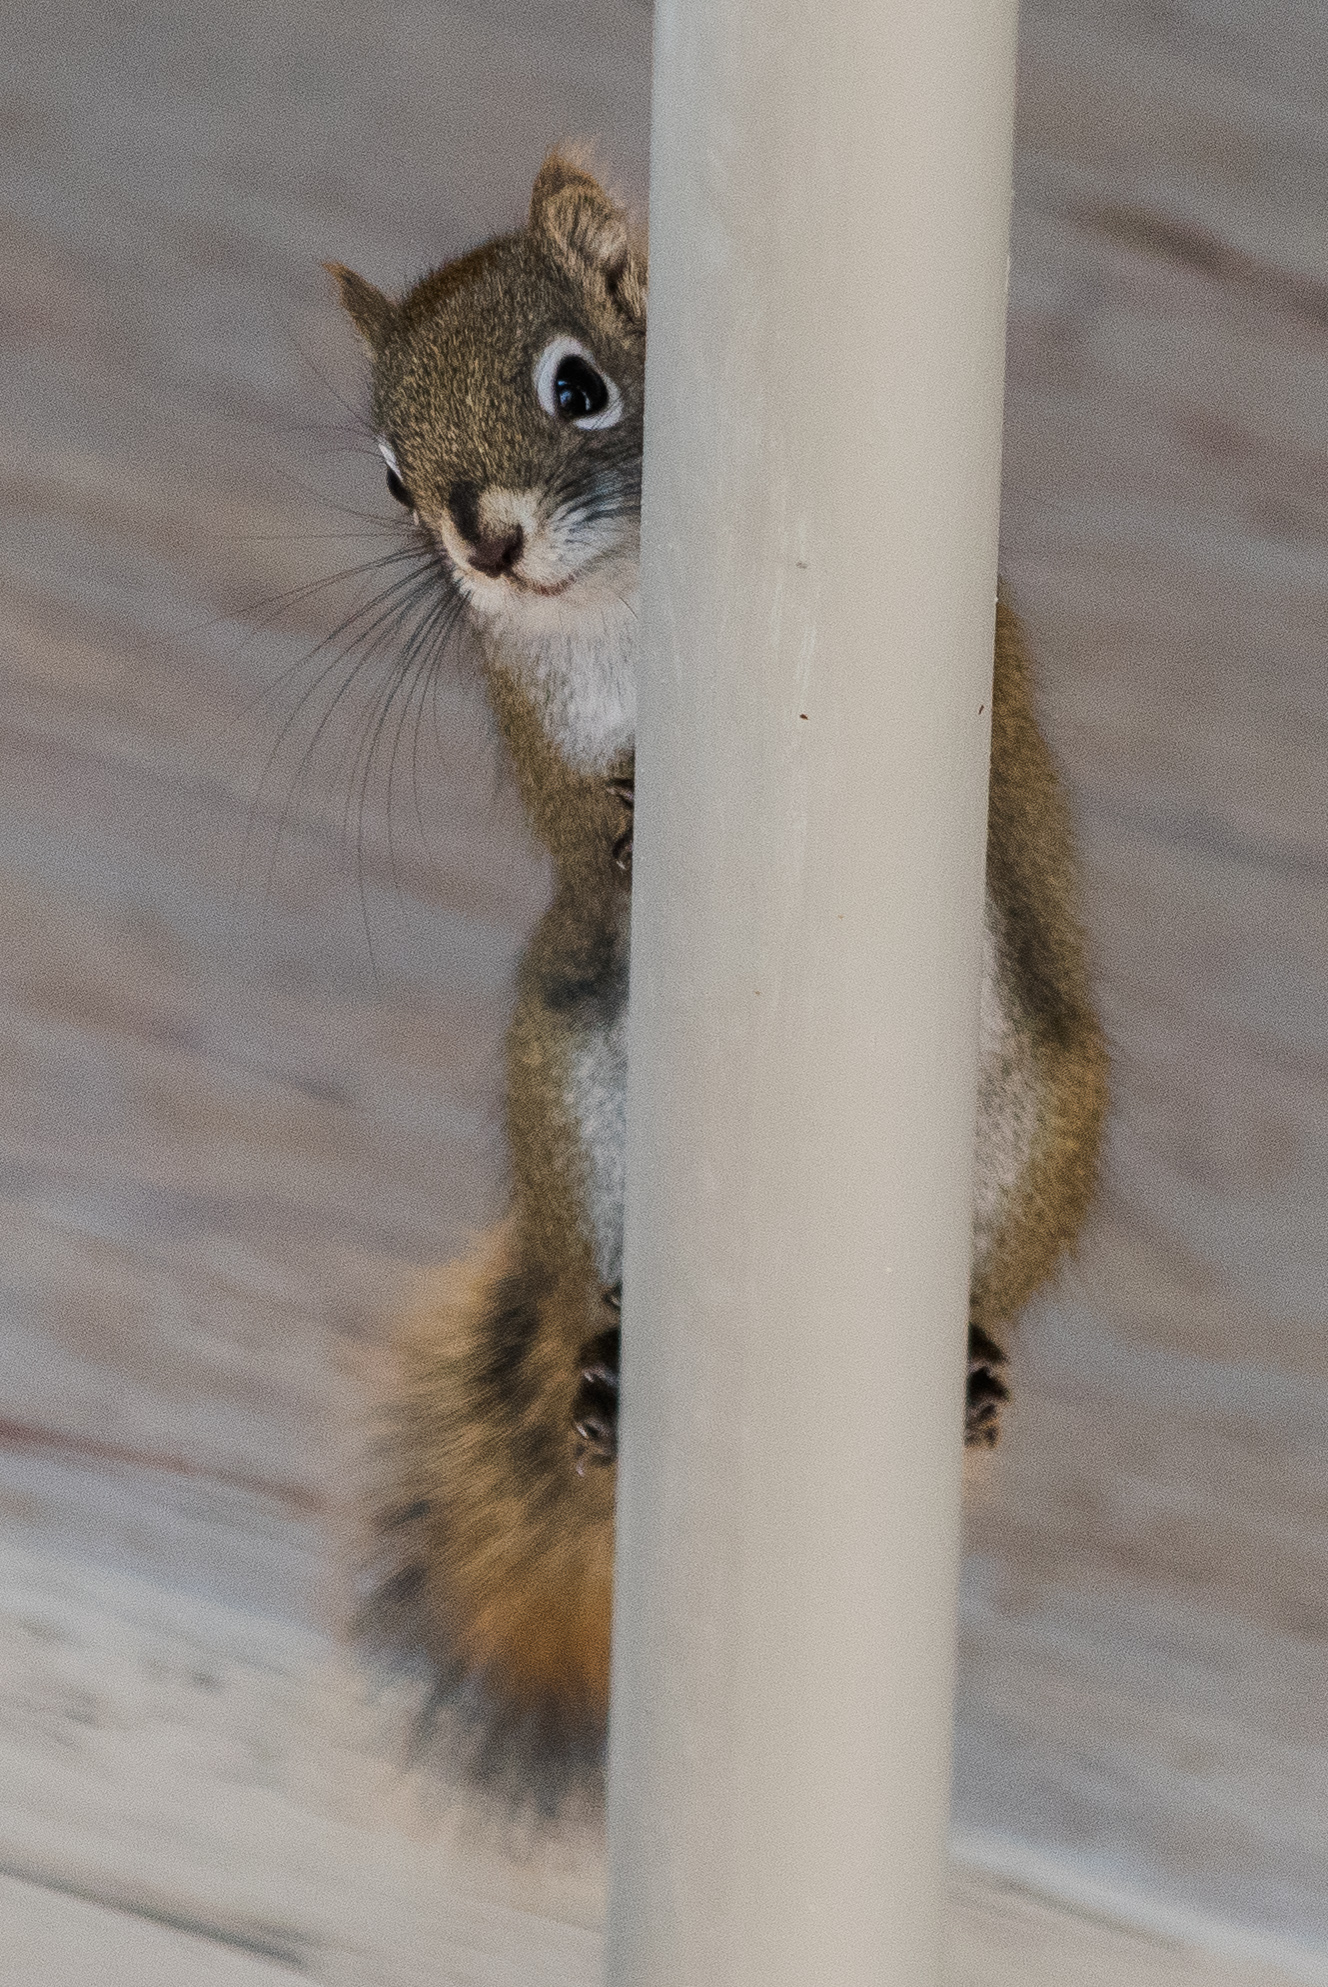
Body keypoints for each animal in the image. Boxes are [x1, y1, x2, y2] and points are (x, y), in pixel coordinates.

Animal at [327, 152, 1108, 1800]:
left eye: (577, 385)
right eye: (389, 475)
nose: (484, 544)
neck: (619, 615)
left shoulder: (975, 658)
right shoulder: (538, 734)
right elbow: (583, 828)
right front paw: (629, 818)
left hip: (1040, 1118)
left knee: (995, 1276)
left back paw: (968, 1363)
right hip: (571, 1102)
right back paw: (611, 1374)